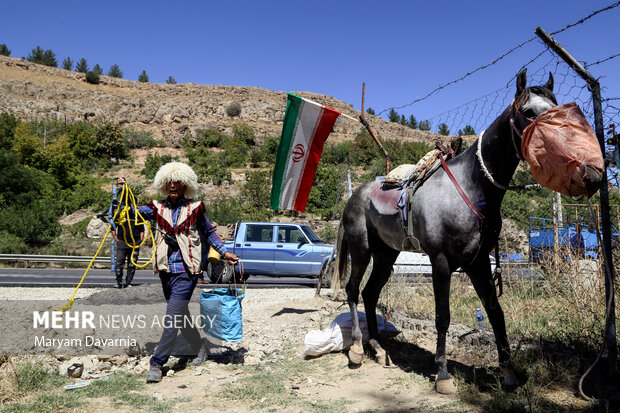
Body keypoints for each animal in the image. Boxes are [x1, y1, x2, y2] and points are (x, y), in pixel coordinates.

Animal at [332, 69, 604, 394]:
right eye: (528, 112)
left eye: (557, 107)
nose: (591, 174)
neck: (470, 188)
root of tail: (353, 197)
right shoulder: (440, 262)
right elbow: (443, 317)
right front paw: (443, 374)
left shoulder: (478, 263)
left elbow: (496, 314)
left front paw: (509, 373)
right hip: (362, 251)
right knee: (353, 290)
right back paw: (357, 348)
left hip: (386, 255)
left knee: (370, 293)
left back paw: (378, 347)